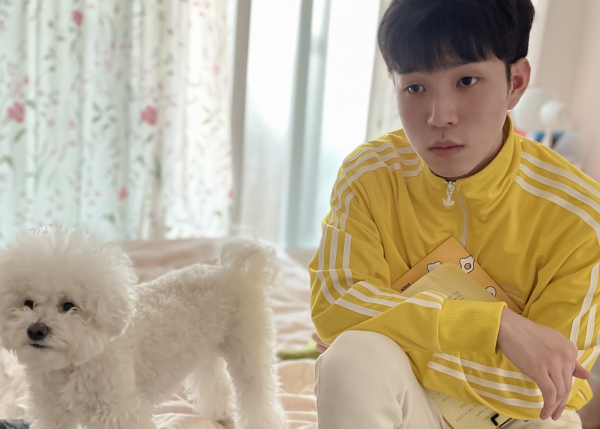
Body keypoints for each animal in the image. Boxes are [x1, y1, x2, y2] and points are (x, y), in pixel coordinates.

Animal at [0, 227, 288, 429]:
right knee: (215, 384)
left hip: (249, 351)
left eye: (69, 305)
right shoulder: (53, 414)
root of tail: (237, 272)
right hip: (205, 353)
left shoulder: (120, 412)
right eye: (28, 303)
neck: (72, 366)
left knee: (258, 396)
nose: (35, 330)